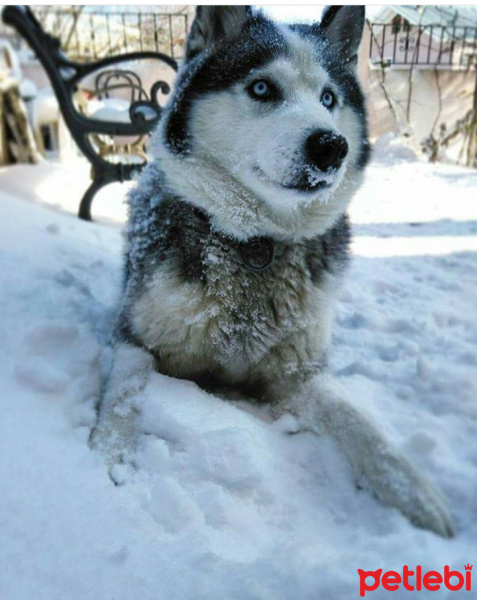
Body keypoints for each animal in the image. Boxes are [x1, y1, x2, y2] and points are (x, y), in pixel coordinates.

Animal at [92, 5, 454, 540]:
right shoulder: (138, 339)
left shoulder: (299, 372)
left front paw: (416, 493)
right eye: (262, 88)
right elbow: (125, 390)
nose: (331, 146)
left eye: (329, 98)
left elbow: (358, 420)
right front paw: (105, 456)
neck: (254, 243)